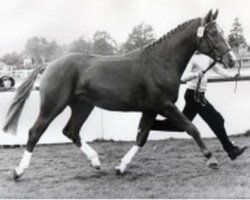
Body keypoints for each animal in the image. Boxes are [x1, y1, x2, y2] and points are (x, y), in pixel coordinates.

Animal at [2, 9, 235, 180]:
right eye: (213, 33)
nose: (231, 60)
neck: (159, 63)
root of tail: (49, 64)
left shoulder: (150, 109)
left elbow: (141, 137)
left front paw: (121, 167)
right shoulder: (165, 105)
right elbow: (191, 128)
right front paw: (211, 159)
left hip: (82, 106)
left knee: (71, 131)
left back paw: (96, 162)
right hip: (53, 106)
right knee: (35, 132)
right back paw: (18, 171)